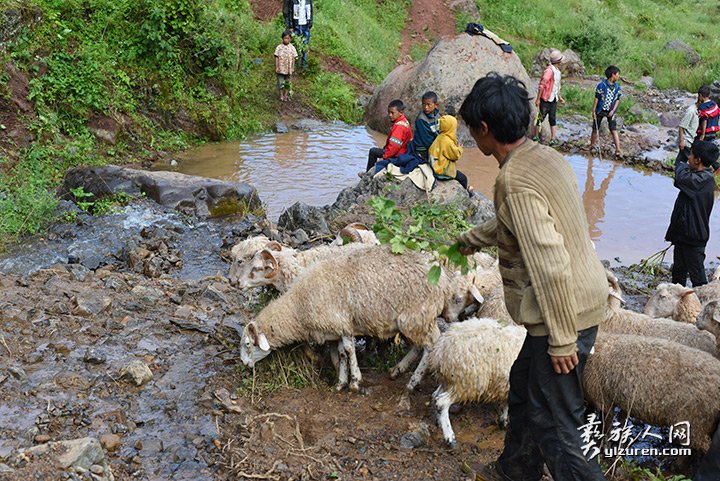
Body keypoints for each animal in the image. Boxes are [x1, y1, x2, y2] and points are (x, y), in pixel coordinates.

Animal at [242, 246, 476, 392]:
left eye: (247, 344)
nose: (245, 365)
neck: (298, 306)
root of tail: (443, 278)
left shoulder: (340, 323)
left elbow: (347, 351)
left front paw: (354, 381)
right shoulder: (338, 327)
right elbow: (342, 353)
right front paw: (341, 382)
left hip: (417, 316)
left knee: (431, 345)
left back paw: (413, 380)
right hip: (418, 319)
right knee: (421, 345)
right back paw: (398, 369)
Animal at [584, 332, 720, 452]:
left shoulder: (601, 395)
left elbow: (606, 424)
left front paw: (605, 445)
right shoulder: (619, 400)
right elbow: (620, 421)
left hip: (695, 421)